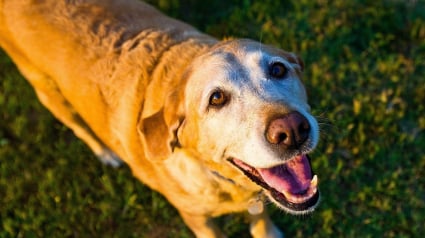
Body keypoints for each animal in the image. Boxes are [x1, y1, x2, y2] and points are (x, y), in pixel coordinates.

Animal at [0, 0, 318, 237]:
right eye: (216, 99)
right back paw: (105, 153)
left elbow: (261, 219)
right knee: (78, 126)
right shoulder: (197, 220)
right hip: (47, 91)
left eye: (278, 69)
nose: (292, 130)